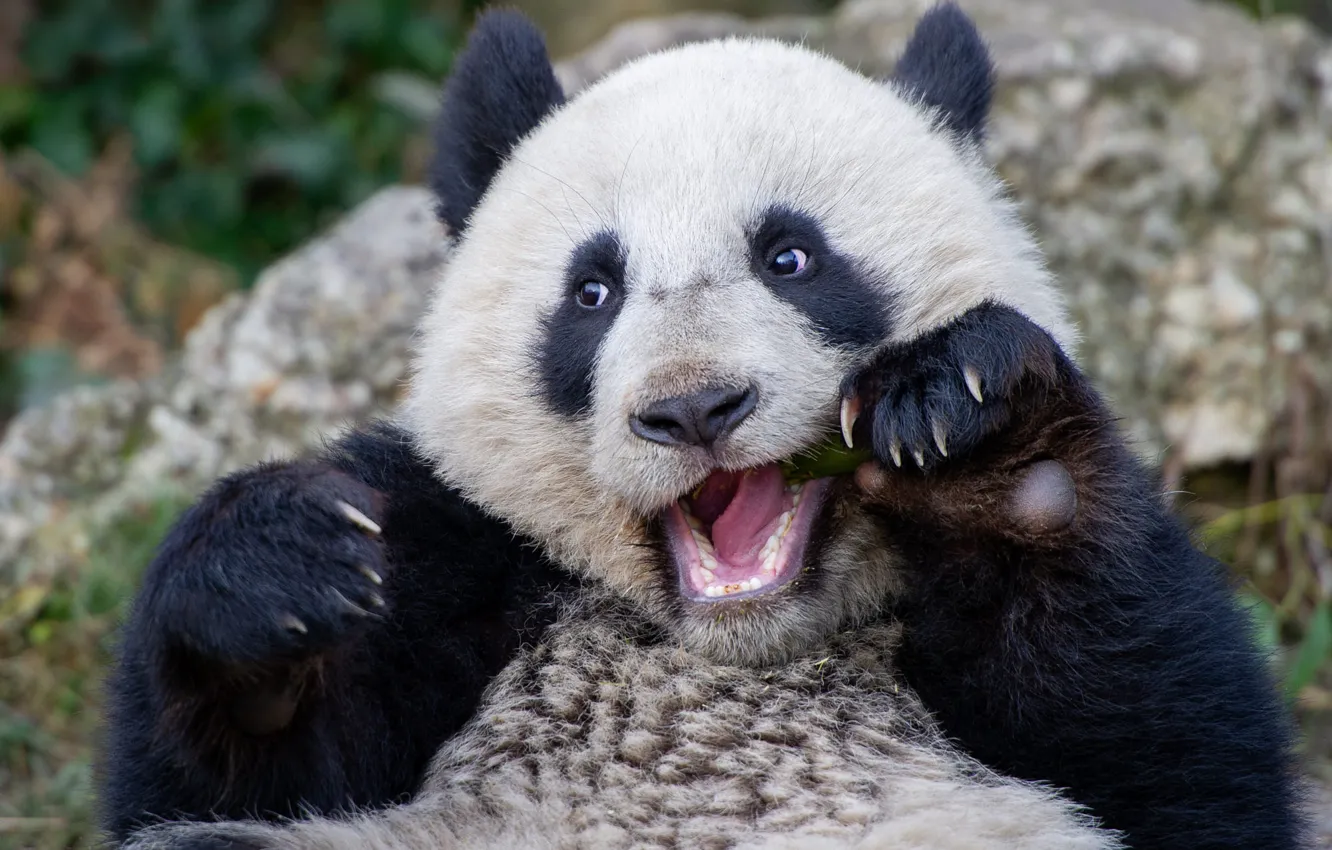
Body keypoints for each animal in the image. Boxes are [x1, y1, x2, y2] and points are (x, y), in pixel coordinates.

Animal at [100, 5, 1306, 849]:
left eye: (793, 256)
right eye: (593, 291)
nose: (692, 407)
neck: (736, 653)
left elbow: (1186, 755)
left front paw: (988, 448)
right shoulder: (465, 555)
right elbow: (216, 775)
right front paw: (281, 571)